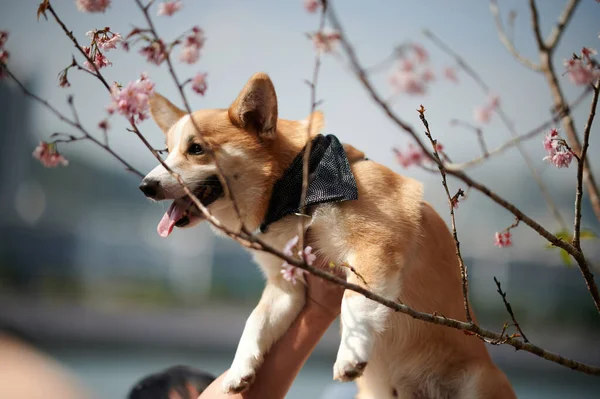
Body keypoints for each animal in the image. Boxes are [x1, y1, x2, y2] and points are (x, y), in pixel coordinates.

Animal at [139, 72, 516, 399]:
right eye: (166, 152)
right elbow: (255, 322)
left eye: (196, 149)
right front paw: (239, 370)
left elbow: (354, 302)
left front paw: (350, 356)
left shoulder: (375, 246)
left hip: (478, 383)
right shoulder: (286, 286)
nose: (145, 186)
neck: (291, 190)